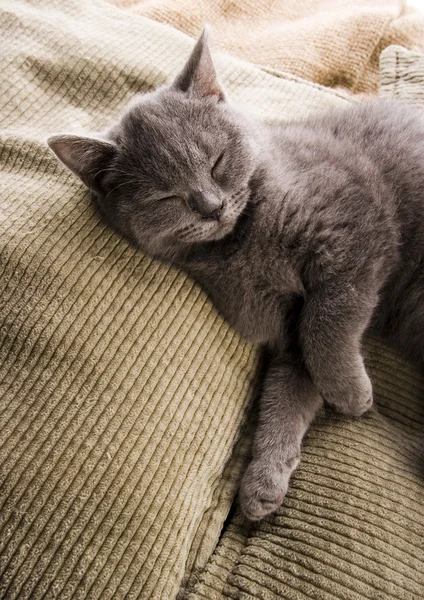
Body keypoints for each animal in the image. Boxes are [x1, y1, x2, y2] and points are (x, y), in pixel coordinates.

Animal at [48, 30, 424, 524]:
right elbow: (285, 392)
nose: (211, 206)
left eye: (217, 161)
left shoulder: (355, 229)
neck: (242, 245)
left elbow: (327, 321)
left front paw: (349, 392)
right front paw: (264, 480)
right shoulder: (284, 330)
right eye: (165, 197)